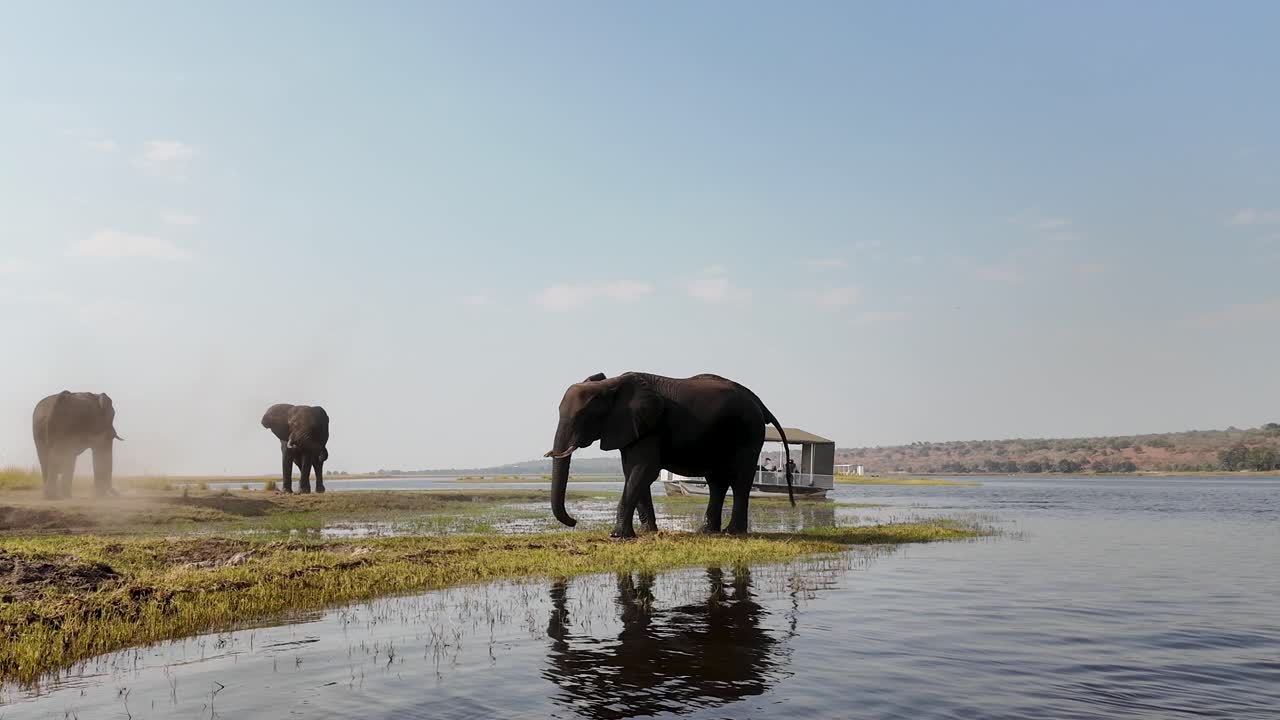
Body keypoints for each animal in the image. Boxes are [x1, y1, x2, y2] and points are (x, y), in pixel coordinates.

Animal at [546, 372, 794, 538]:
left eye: (583, 415)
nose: (574, 522)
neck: (611, 384)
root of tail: (759, 402)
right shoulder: (632, 428)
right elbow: (632, 473)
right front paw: (648, 532)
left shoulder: (651, 426)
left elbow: (643, 471)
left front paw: (617, 536)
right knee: (717, 482)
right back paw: (706, 532)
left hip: (749, 433)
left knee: (740, 480)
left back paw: (732, 533)